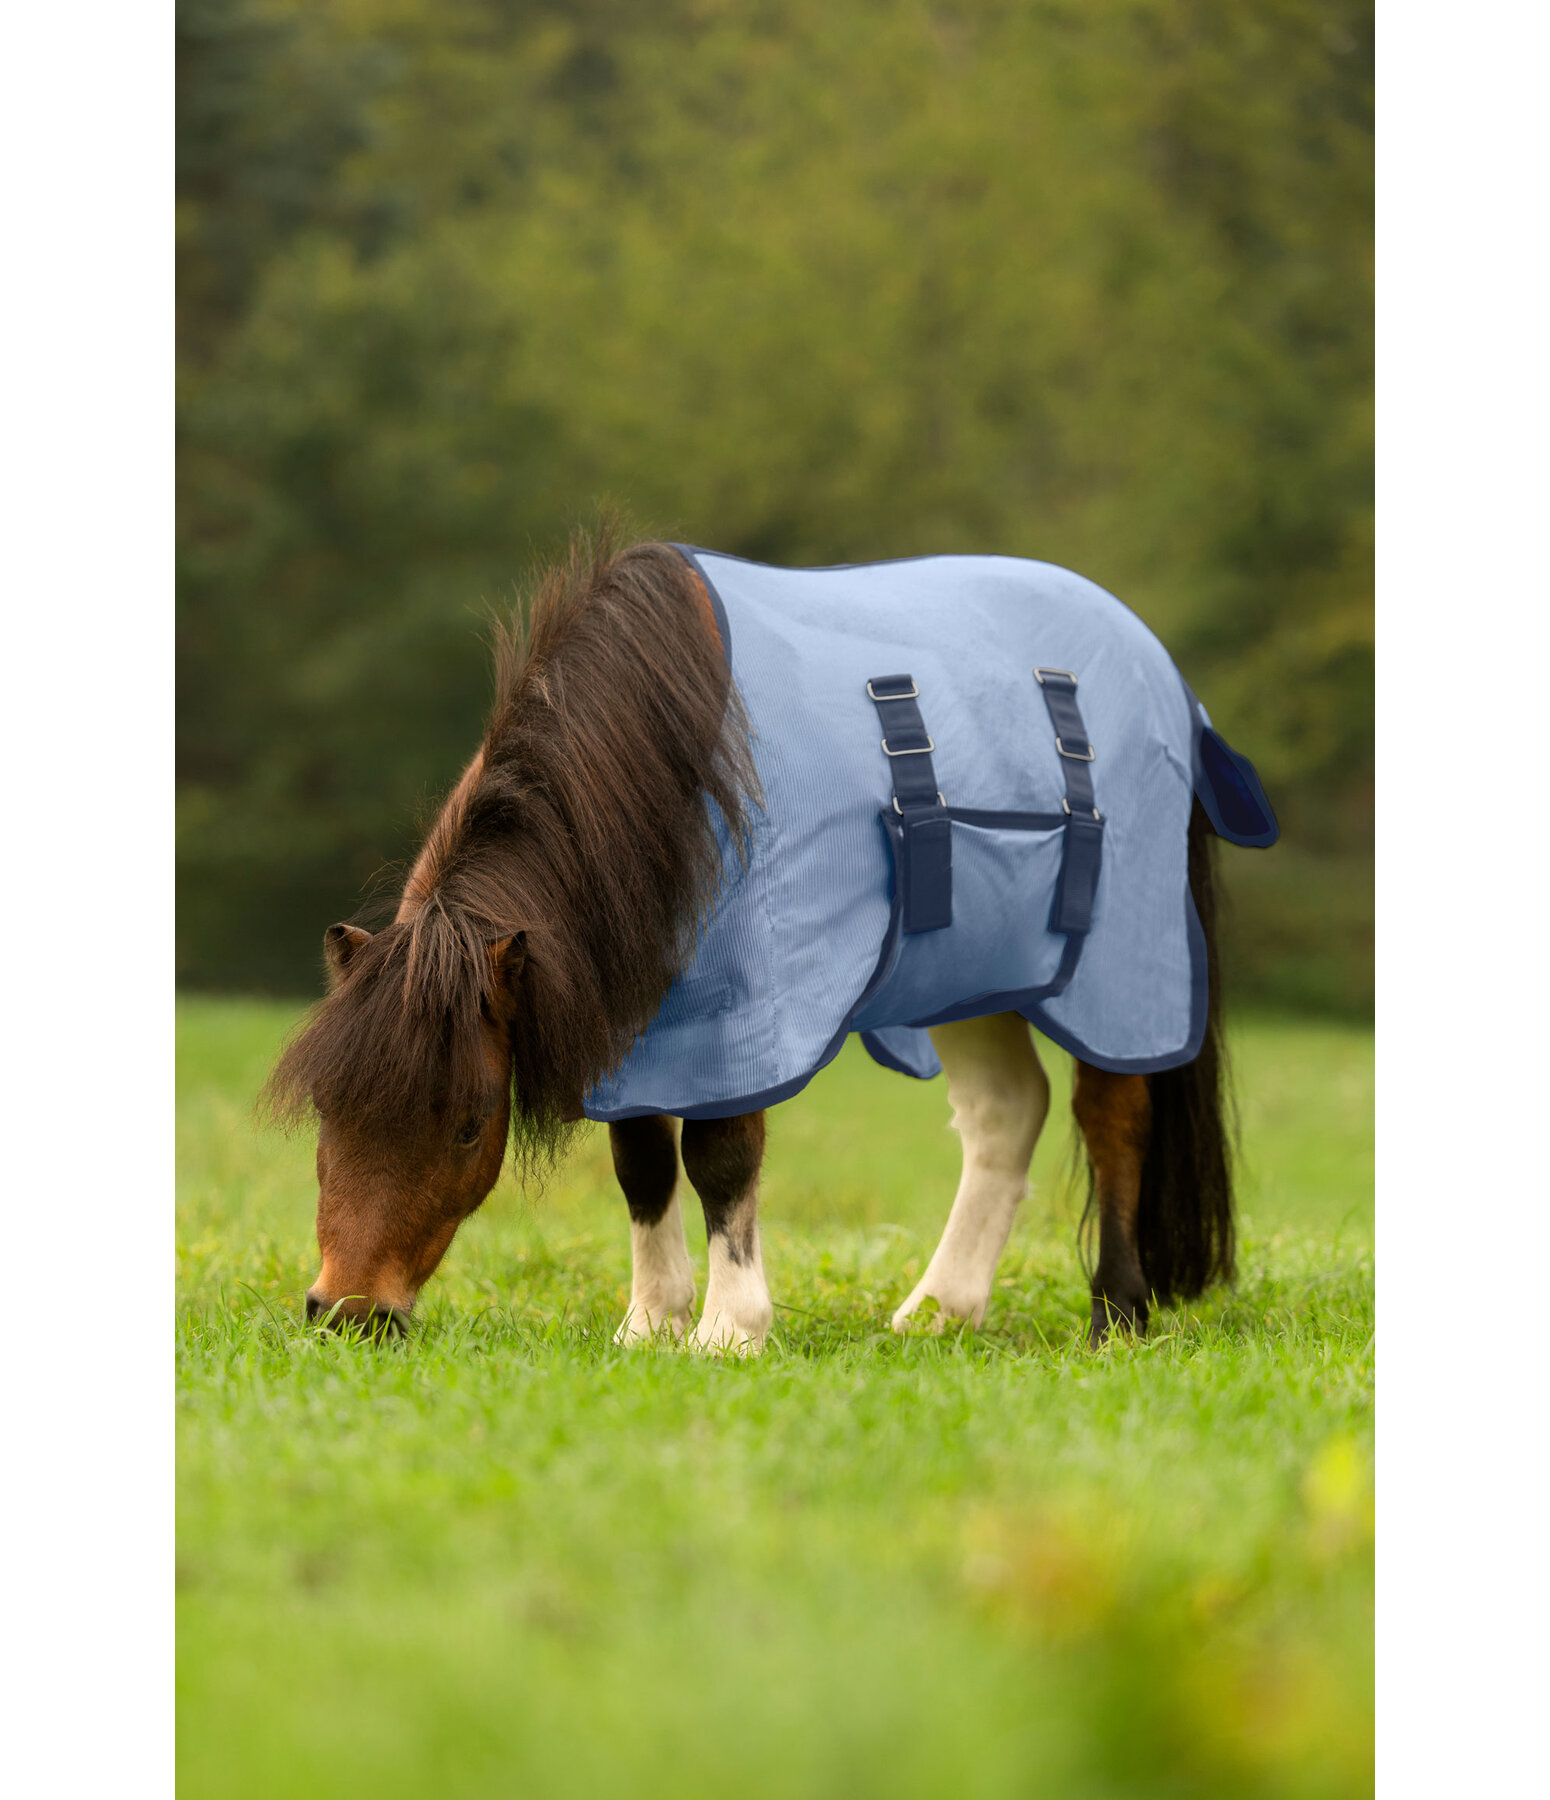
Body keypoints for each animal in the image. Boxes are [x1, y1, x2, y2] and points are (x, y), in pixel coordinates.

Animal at [268, 529, 1273, 1350]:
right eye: (327, 1110)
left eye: (472, 1124)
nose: (347, 1312)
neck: (666, 773)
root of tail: (1165, 676)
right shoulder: (638, 1011)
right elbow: (641, 1165)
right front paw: (651, 1321)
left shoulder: (753, 1003)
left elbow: (720, 1159)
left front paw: (730, 1328)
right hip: (970, 963)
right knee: (1006, 1113)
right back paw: (940, 1309)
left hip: (1112, 971)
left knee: (1113, 1115)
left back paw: (1116, 1313)